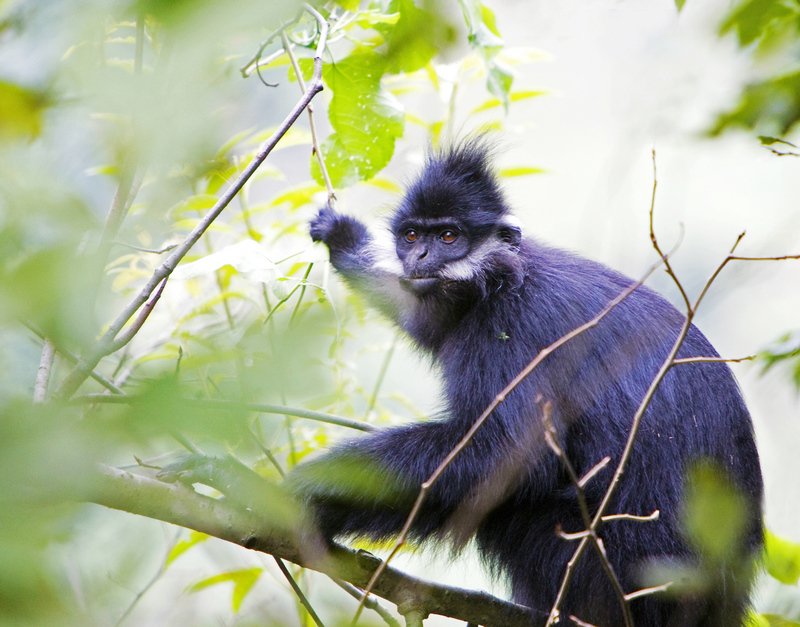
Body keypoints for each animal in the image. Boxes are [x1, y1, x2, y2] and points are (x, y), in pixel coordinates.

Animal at [294, 140, 764, 624]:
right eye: (411, 237)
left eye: (449, 238)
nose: (420, 258)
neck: (500, 279)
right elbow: (421, 317)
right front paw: (344, 239)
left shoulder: (514, 327)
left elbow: (513, 453)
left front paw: (317, 490)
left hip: (602, 575)